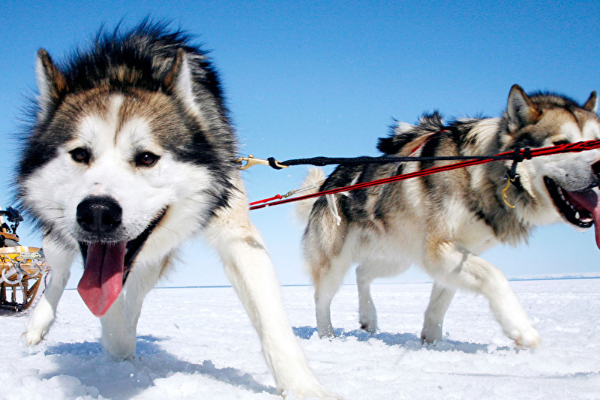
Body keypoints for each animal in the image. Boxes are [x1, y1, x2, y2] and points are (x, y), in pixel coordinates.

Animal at [18, 21, 336, 396]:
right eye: (80, 154)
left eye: (147, 157)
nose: (97, 212)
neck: (126, 69)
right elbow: (102, 308)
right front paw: (113, 339)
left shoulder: (237, 236)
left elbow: (271, 322)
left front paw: (305, 389)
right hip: (60, 237)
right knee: (60, 273)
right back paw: (39, 324)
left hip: (156, 257)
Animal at [300, 86, 600, 348]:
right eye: (561, 144)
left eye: (596, 142)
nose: (599, 165)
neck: (479, 172)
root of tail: (327, 182)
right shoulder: (438, 249)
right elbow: (494, 276)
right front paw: (521, 328)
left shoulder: (454, 254)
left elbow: (440, 302)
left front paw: (432, 342)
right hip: (335, 262)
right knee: (321, 299)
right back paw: (327, 336)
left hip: (399, 256)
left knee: (362, 273)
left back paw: (368, 317)